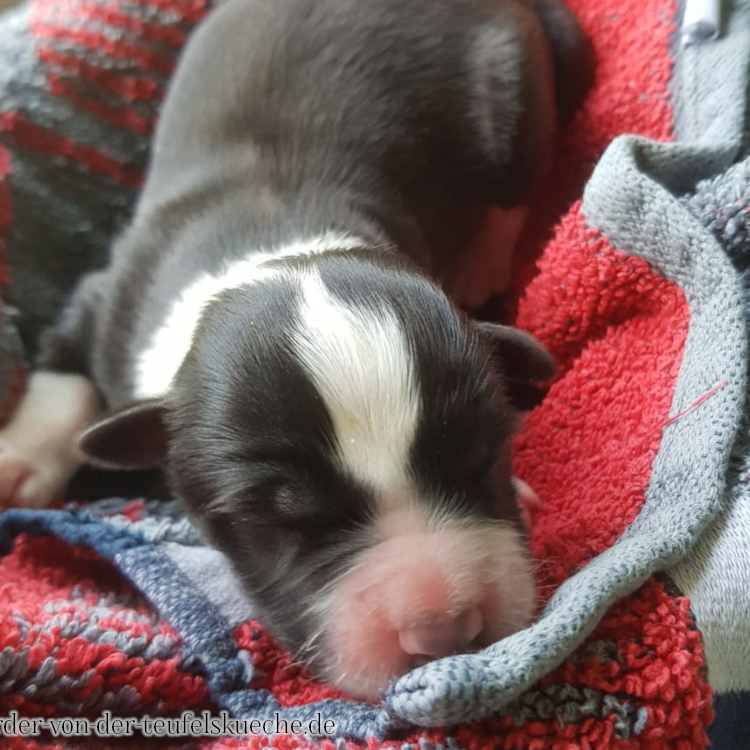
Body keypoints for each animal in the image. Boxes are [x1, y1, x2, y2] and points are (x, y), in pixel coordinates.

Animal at [0, 0, 592, 699]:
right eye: (279, 517)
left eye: (485, 454)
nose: (445, 632)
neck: (283, 245)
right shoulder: (106, 298)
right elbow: (64, 372)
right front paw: (18, 459)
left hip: (512, 89)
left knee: (514, 186)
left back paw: (481, 260)